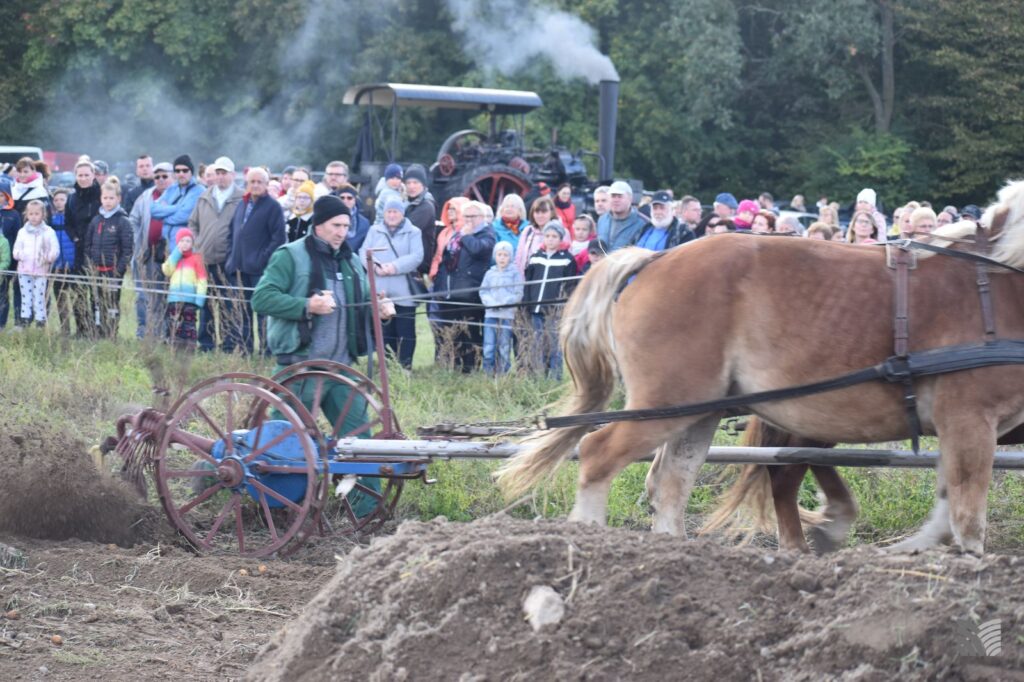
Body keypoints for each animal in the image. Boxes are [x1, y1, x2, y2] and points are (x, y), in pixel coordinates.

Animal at [499, 179, 1024, 552]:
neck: (997, 284)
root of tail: (654, 258)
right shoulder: (969, 418)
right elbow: (967, 518)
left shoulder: (961, 427)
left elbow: (947, 509)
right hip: (669, 399)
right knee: (598, 453)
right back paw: (591, 542)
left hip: (700, 409)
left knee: (671, 481)